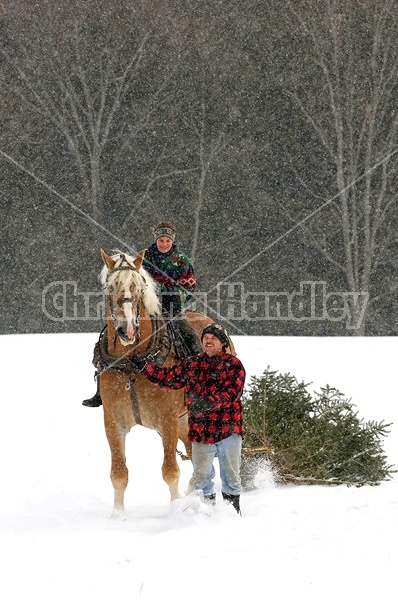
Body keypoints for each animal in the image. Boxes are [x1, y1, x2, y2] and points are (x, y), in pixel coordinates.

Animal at [95, 248, 235, 516]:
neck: (131, 363)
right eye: (110, 287)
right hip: (184, 420)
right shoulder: (113, 421)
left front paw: (176, 509)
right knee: (193, 453)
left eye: (138, 286)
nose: (127, 330)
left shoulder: (167, 419)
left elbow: (170, 471)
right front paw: (118, 515)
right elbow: (118, 473)